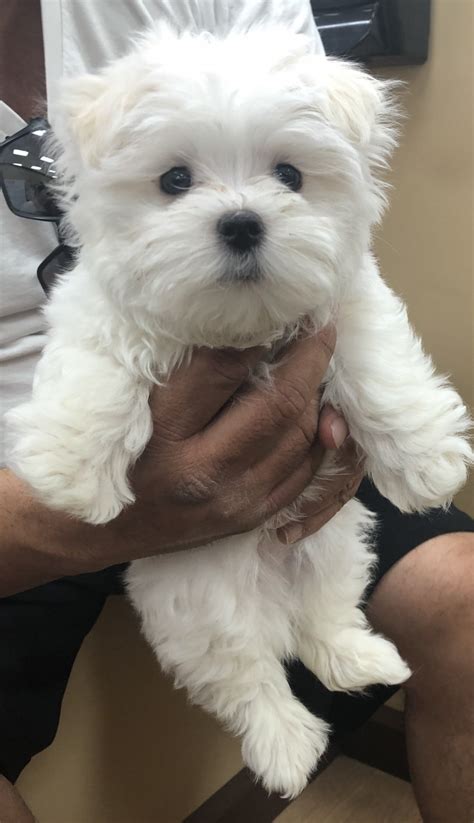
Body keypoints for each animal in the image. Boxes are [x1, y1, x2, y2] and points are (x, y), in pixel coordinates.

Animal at [6, 27, 470, 800]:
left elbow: (377, 360)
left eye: (289, 174)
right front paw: (72, 476)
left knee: (324, 618)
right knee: (246, 676)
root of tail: (271, 582)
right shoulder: (101, 308)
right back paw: (287, 746)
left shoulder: (346, 301)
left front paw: (426, 460)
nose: (243, 222)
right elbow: (98, 365)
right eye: (173, 181)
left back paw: (363, 659)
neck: (238, 327)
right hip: (196, 604)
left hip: (335, 545)